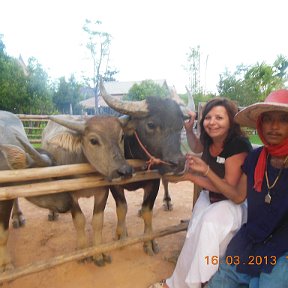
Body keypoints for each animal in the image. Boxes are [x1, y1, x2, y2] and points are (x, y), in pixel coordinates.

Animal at [100, 82, 186, 255]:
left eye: (180, 125)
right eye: (151, 124)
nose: (179, 163)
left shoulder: (154, 181)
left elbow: (148, 211)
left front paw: (150, 242)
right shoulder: (114, 183)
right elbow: (122, 208)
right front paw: (120, 235)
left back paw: (167, 202)